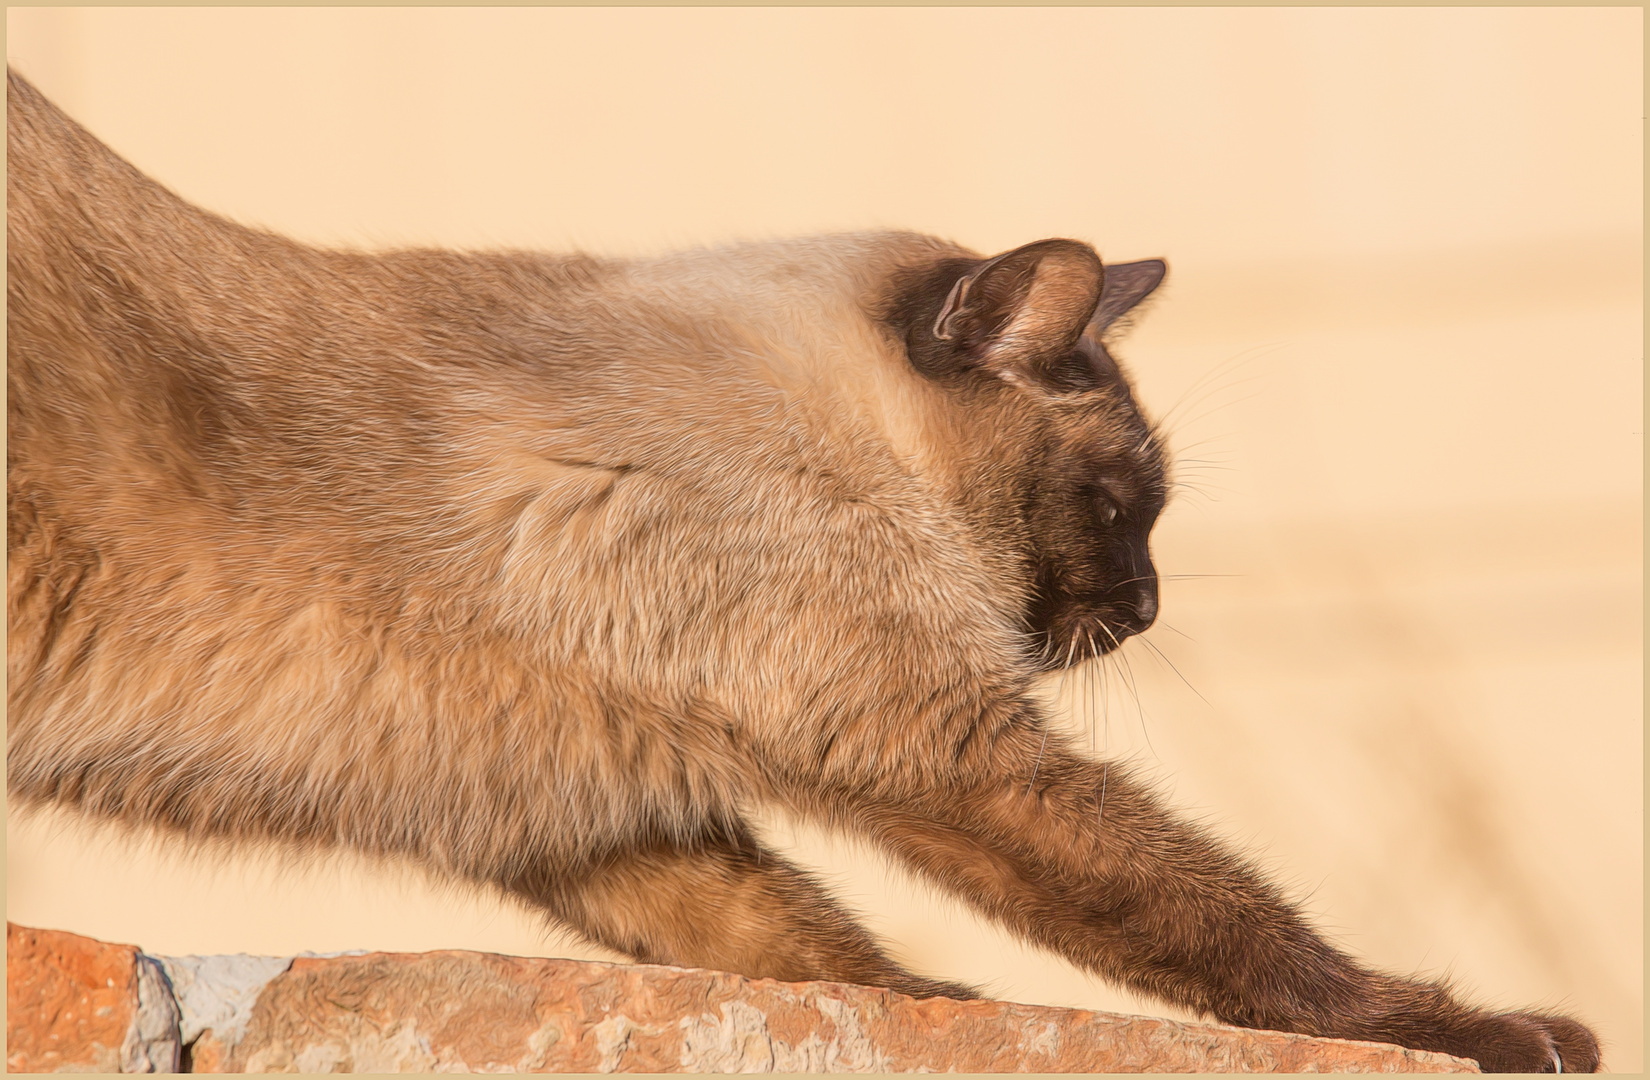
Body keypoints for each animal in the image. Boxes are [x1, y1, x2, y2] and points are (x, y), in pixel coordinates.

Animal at [0, 71, 1597, 1075]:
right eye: (1119, 504)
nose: (1146, 612)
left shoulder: (595, 813)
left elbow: (809, 950)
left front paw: (939, 1011)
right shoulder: (946, 752)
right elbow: (1238, 931)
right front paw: (1501, 1033)